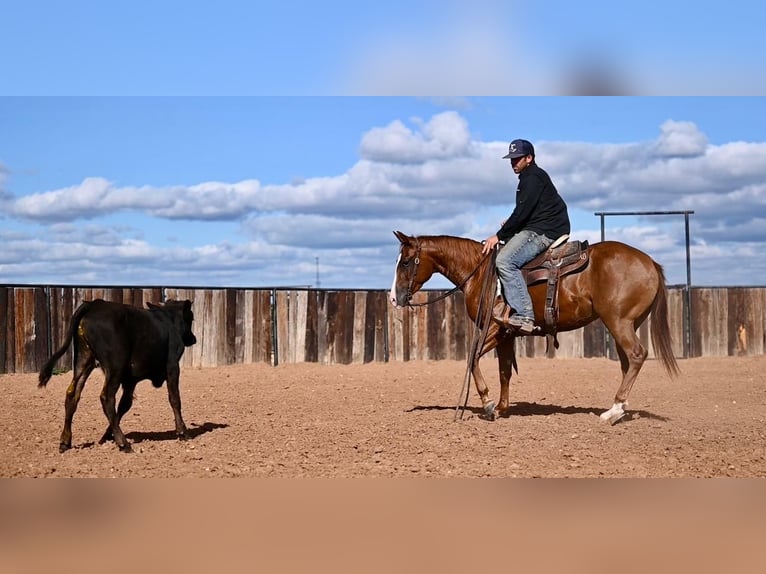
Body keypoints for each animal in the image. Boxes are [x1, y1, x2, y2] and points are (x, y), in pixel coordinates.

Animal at [392, 232, 680, 426]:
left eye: (405, 261)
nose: (395, 298)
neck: (481, 274)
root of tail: (650, 262)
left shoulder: (493, 329)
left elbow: (472, 359)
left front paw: (487, 404)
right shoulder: (506, 335)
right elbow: (505, 371)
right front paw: (502, 407)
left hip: (618, 322)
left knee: (636, 355)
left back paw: (614, 411)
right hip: (628, 323)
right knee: (627, 361)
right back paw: (619, 408)